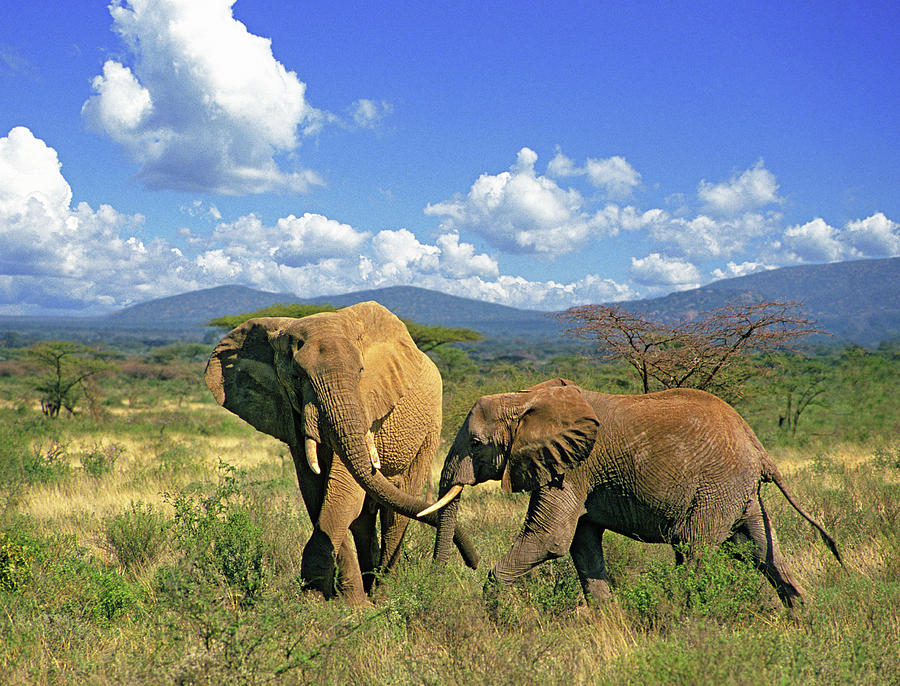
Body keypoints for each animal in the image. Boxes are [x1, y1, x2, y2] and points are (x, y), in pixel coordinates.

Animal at [206, 300, 478, 608]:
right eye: (297, 378)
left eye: (360, 371)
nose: (474, 562)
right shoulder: (289, 417)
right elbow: (316, 493)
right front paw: (337, 599)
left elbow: (344, 493)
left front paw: (324, 599)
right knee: (363, 519)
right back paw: (369, 586)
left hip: (429, 430)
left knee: (396, 514)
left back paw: (383, 595)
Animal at [426, 378, 840, 612]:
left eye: (476, 443)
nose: (435, 589)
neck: (526, 399)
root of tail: (759, 447)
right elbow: (582, 544)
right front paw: (607, 622)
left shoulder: (572, 468)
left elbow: (549, 540)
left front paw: (493, 613)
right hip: (739, 494)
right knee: (760, 548)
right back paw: (804, 620)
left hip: (717, 488)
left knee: (695, 549)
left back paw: (681, 622)